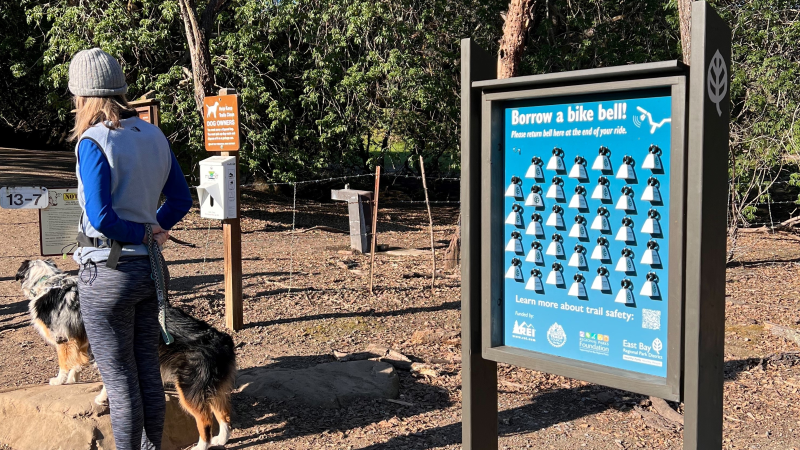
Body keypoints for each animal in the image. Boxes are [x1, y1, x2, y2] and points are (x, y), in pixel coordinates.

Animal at [16, 260, 234, 450]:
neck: (48, 282)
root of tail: (221, 340)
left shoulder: (64, 337)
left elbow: (64, 362)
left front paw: (59, 380)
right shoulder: (88, 342)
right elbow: (84, 364)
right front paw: (78, 382)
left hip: (189, 388)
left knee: (205, 420)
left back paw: (201, 445)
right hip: (213, 386)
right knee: (224, 414)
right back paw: (221, 440)